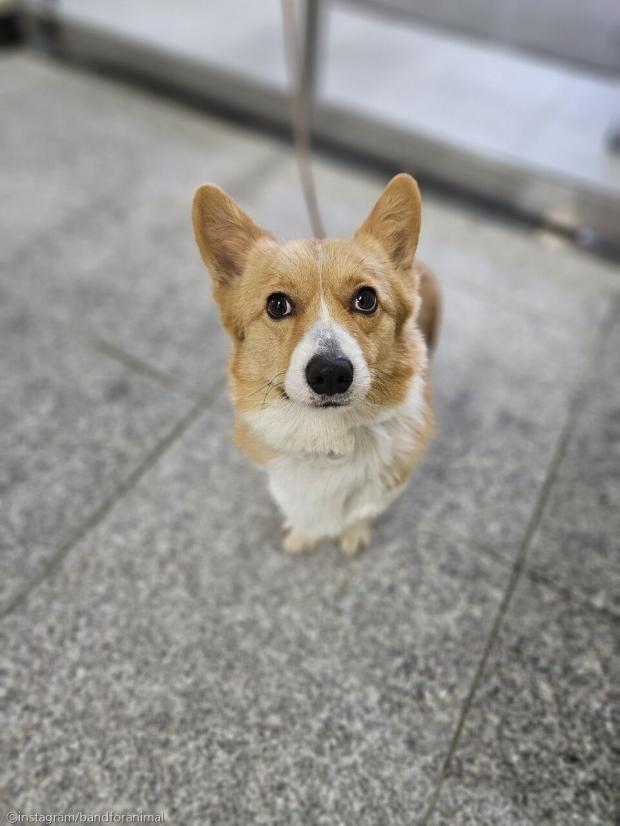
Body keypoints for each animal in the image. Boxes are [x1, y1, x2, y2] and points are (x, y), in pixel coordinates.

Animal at [191, 177, 438, 556]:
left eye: (366, 299)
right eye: (277, 304)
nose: (331, 373)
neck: (329, 439)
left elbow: (364, 511)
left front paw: (353, 536)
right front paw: (302, 536)